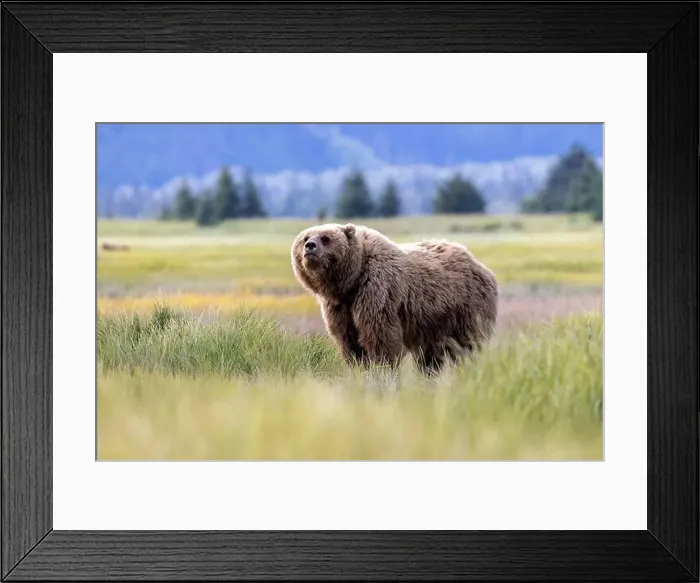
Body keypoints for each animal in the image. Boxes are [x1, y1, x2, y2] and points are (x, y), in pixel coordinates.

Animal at [291, 222, 498, 377]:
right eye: (305, 238)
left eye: (326, 238)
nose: (310, 246)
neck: (350, 282)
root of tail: (481, 266)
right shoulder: (339, 307)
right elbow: (349, 341)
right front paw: (358, 368)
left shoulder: (377, 290)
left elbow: (380, 337)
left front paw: (381, 369)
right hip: (434, 324)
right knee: (429, 356)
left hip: (466, 307)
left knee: (469, 345)